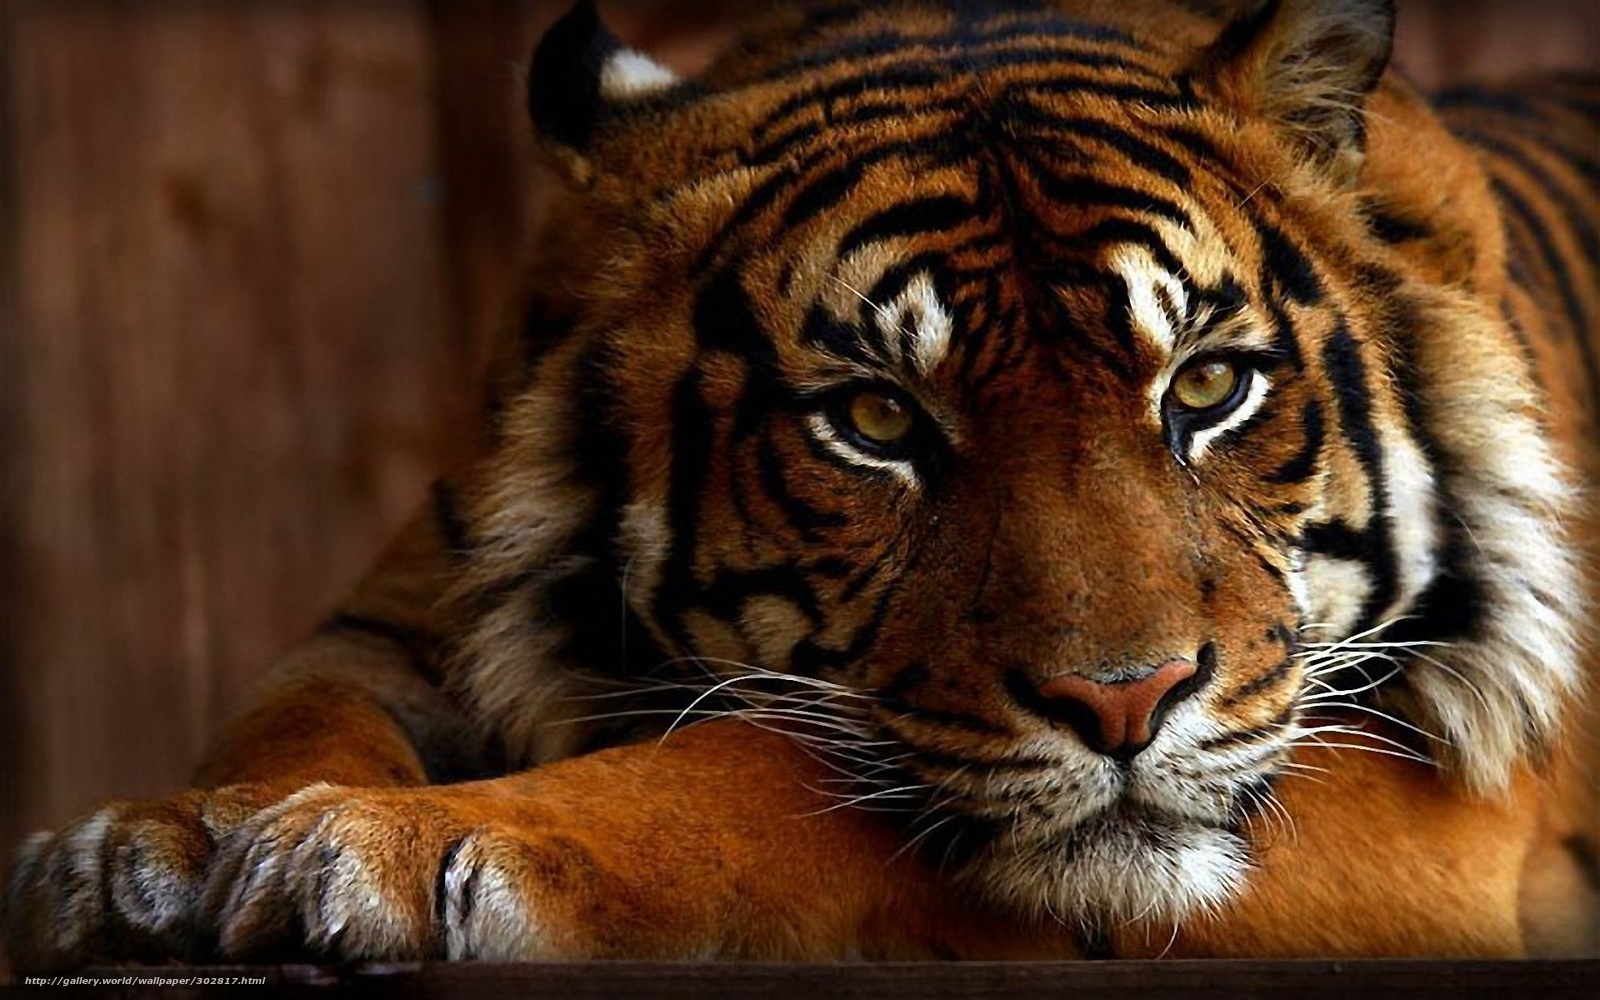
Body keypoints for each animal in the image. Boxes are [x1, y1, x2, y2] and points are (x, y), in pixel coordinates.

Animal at [6, 0, 1600, 969]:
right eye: (877, 419)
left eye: (1205, 388)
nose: (1126, 703)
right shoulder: (404, 615)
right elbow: (294, 712)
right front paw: (154, 849)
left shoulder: (1428, 792)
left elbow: (761, 770)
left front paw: (407, 847)